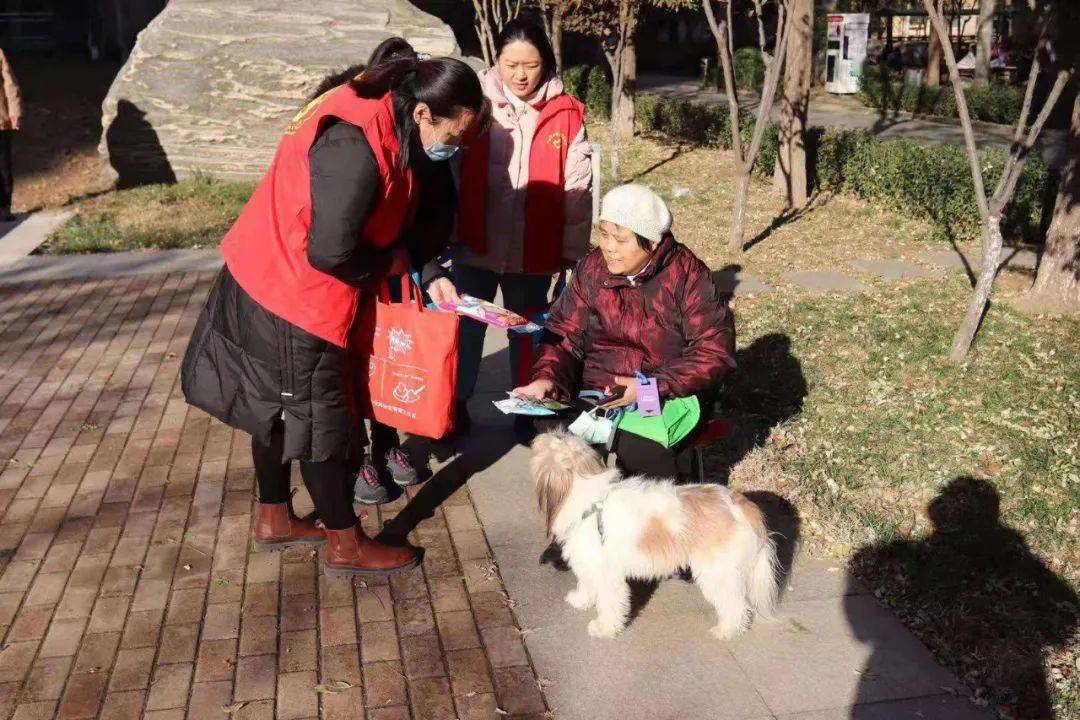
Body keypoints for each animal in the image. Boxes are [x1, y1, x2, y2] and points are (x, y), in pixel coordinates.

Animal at [529, 431, 777, 639]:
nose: (537, 437)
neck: (590, 498)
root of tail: (744, 506)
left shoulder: (606, 573)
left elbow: (610, 602)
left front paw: (604, 628)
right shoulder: (588, 562)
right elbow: (587, 584)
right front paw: (580, 600)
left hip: (717, 572)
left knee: (736, 605)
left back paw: (726, 630)